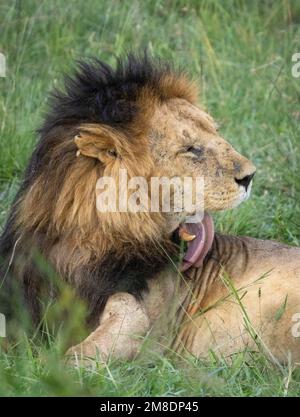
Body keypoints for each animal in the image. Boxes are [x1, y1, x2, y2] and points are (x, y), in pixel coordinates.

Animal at [0, 56, 300, 364]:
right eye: (191, 149)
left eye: (216, 133)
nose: (250, 176)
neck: (87, 244)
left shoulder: (143, 320)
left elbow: (89, 347)